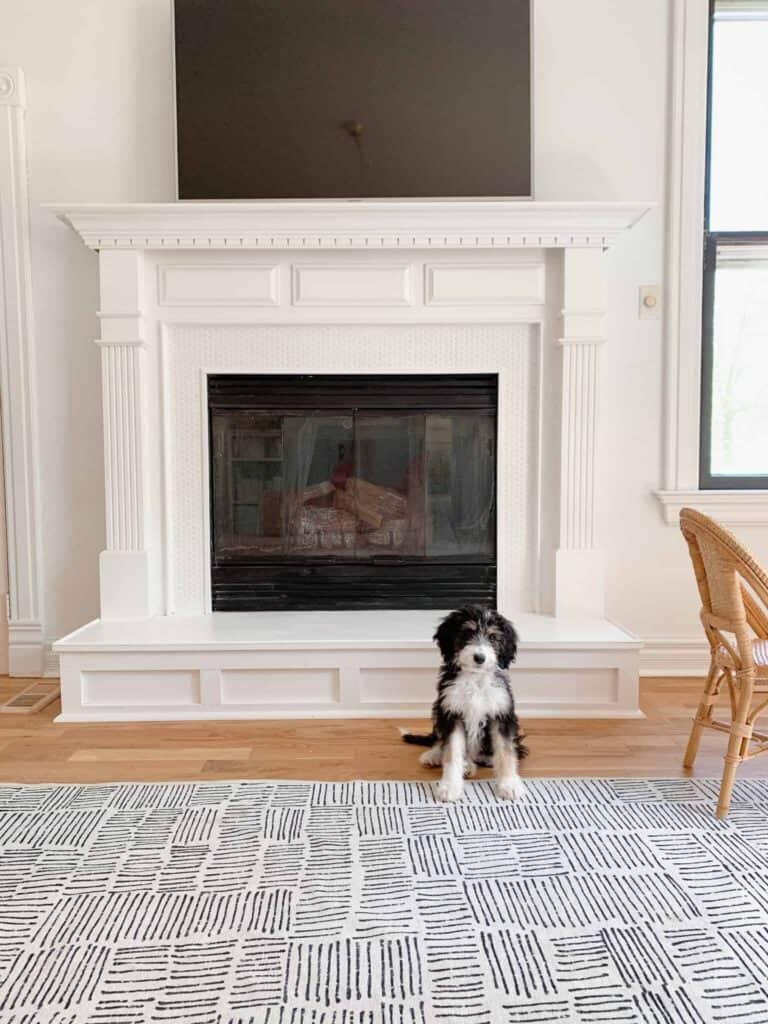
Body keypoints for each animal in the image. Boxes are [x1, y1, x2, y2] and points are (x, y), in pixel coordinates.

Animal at [403, 602, 528, 802]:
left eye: (493, 637)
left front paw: (509, 784)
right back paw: (438, 756)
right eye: (467, 633)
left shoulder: (501, 713)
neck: (475, 678)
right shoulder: (451, 711)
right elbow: (452, 751)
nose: (479, 658)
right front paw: (450, 786)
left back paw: (483, 759)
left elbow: (505, 750)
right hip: (437, 709)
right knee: (440, 739)